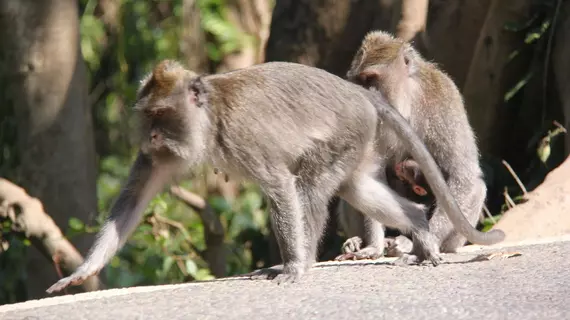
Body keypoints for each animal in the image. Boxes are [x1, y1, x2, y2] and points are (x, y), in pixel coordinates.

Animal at [47, 58, 502, 294]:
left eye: (163, 114)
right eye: (148, 116)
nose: (153, 135)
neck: (208, 119)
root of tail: (360, 92)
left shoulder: (244, 136)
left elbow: (281, 186)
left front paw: (293, 266)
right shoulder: (158, 157)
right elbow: (132, 202)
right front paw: (81, 272)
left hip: (347, 132)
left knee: (312, 187)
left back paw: (305, 262)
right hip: (359, 142)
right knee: (356, 188)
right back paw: (419, 227)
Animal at [336, 30, 486, 262]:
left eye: (370, 79)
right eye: (358, 81)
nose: (364, 97)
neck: (407, 101)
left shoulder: (443, 99)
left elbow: (463, 175)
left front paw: (423, 244)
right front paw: (374, 246)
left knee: (475, 186)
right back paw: (359, 240)